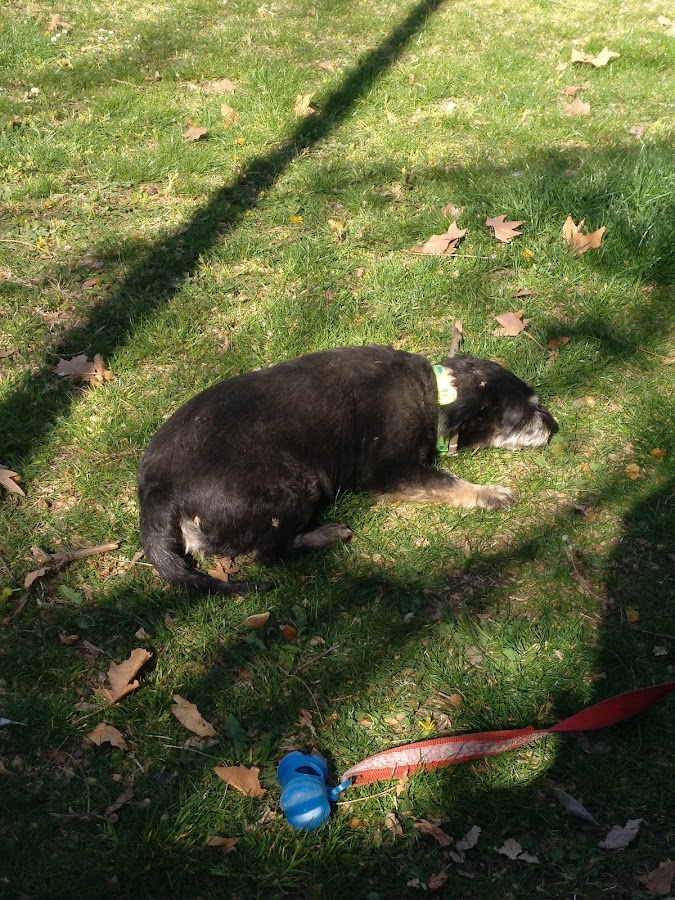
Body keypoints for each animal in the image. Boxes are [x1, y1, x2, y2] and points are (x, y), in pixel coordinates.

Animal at [137, 342, 556, 596]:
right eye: (524, 416)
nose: (554, 426)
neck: (434, 395)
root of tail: (155, 491)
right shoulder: (391, 472)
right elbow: (449, 482)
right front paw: (490, 492)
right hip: (296, 485)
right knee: (269, 553)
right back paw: (327, 534)